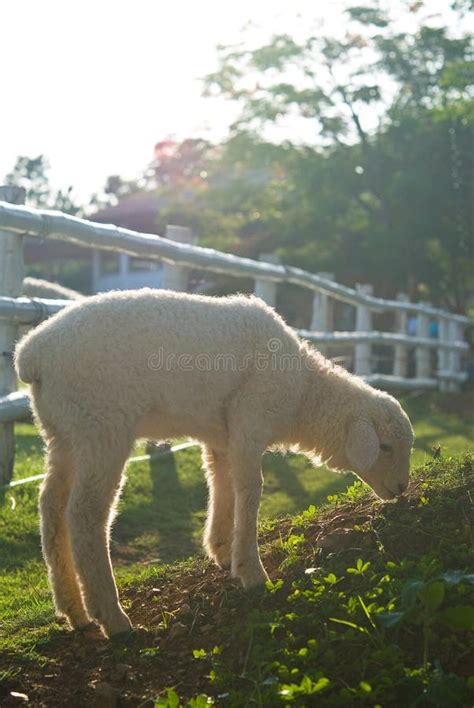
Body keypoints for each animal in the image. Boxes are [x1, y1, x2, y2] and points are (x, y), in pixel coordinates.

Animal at [13, 288, 414, 636]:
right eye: (386, 447)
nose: (401, 489)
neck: (302, 395)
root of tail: (32, 354)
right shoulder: (252, 417)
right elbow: (251, 491)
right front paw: (252, 573)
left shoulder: (222, 436)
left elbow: (224, 486)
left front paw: (222, 551)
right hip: (102, 424)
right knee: (85, 514)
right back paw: (111, 617)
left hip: (64, 432)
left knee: (51, 506)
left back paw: (73, 610)